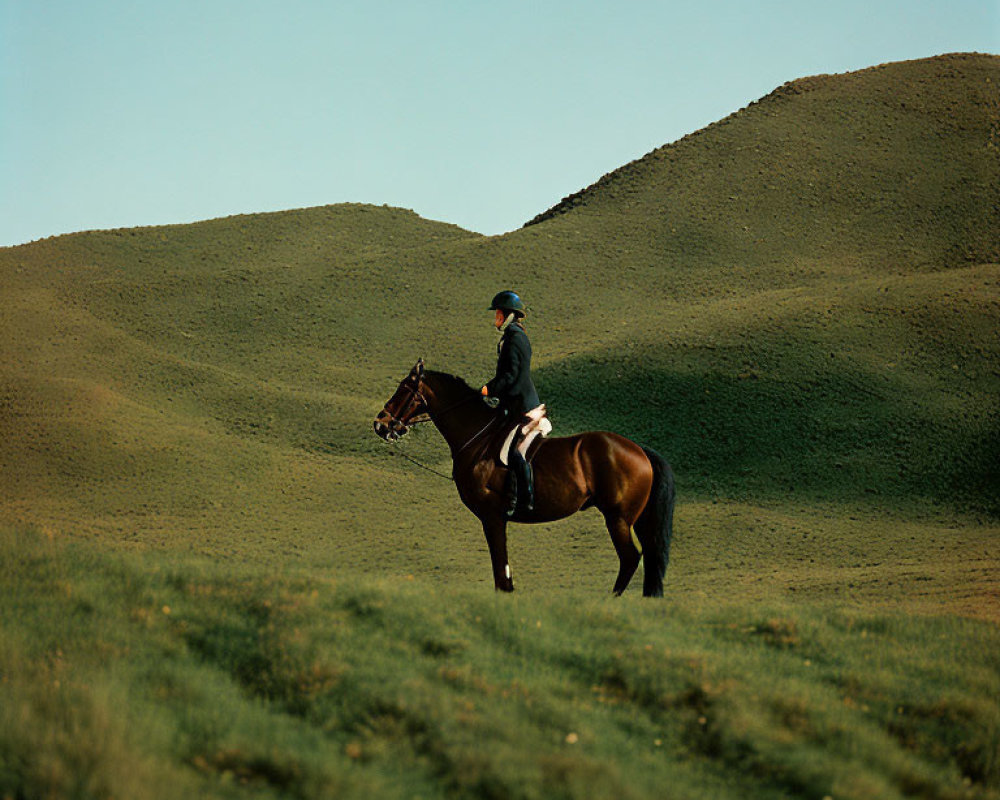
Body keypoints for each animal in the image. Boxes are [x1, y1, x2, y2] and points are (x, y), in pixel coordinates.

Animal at [376, 356, 680, 592]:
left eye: (403, 390)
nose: (380, 424)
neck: (477, 437)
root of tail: (640, 450)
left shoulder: (492, 517)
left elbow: (501, 573)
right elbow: (504, 574)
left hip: (618, 518)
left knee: (630, 558)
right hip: (638, 518)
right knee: (649, 557)